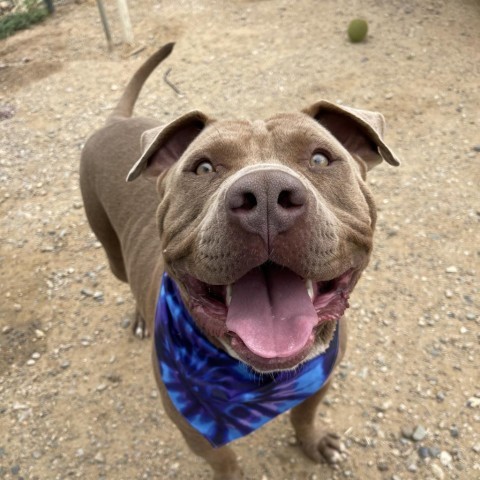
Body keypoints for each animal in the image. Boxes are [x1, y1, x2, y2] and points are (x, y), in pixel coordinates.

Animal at [79, 43, 402, 478]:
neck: (265, 379)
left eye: (320, 159)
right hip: (110, 249)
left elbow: (304, 415)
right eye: (202, 167)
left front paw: (314, 442)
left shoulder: (322, 376)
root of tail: (117, 120)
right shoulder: (197, 435)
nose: (266, 193)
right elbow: (226, 460)